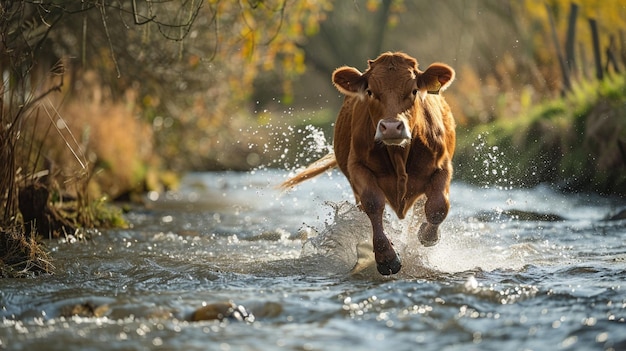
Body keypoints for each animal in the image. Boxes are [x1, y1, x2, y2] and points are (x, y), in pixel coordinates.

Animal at [282, 52, 454, 276]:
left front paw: (427, 235)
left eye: (414, 90)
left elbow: (438, 206)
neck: (398, 154)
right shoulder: (358, 169)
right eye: (370, 91)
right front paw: (386, 257)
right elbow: (373, 204)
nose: (391, 127)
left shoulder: (442, 167)